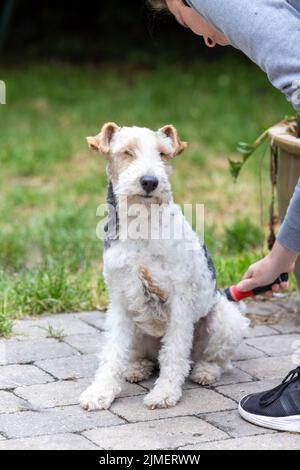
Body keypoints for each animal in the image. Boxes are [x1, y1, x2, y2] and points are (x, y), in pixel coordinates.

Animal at [79, 123, 248, 410]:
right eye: (127, 151)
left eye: (163, 154)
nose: (150, 182)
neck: (141, 225)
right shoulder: (120, 299)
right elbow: (112, 352)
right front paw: (99, 393)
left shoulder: (180, 299)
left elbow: (174, 353)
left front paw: (164, 394)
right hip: (138, 329)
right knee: (145, 357)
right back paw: (136, 369)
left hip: (224, 322)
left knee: (214, 360)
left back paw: (205, 372)